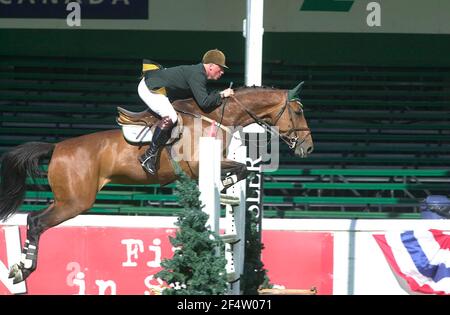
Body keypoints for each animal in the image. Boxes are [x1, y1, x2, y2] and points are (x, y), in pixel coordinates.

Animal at [0, 82, 312, 286]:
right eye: (298, 112)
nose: (307, 148)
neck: (214, 116)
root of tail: (56, 147)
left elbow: (242, 169)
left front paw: (226, 183)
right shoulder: (197, 165)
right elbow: (240, 168)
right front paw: (225, 182)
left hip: (66, 200)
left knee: (33, 218)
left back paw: (20, 268)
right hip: (75, 202)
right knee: (37, 222)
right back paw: (24, 269)